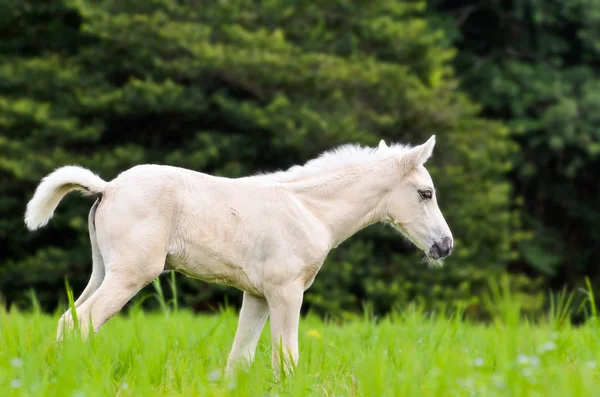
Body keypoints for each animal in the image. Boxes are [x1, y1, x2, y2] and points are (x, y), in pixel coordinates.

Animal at [24, 135, 454, 374]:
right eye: (426, 193)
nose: (445, 245)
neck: (309, 210)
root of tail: (108, 187)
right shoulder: (285, 291)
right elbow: (287, 359)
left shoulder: (257, 295)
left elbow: (239, 359)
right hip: (131, 274)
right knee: (80, 322)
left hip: (101, 271)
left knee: (68, 320)